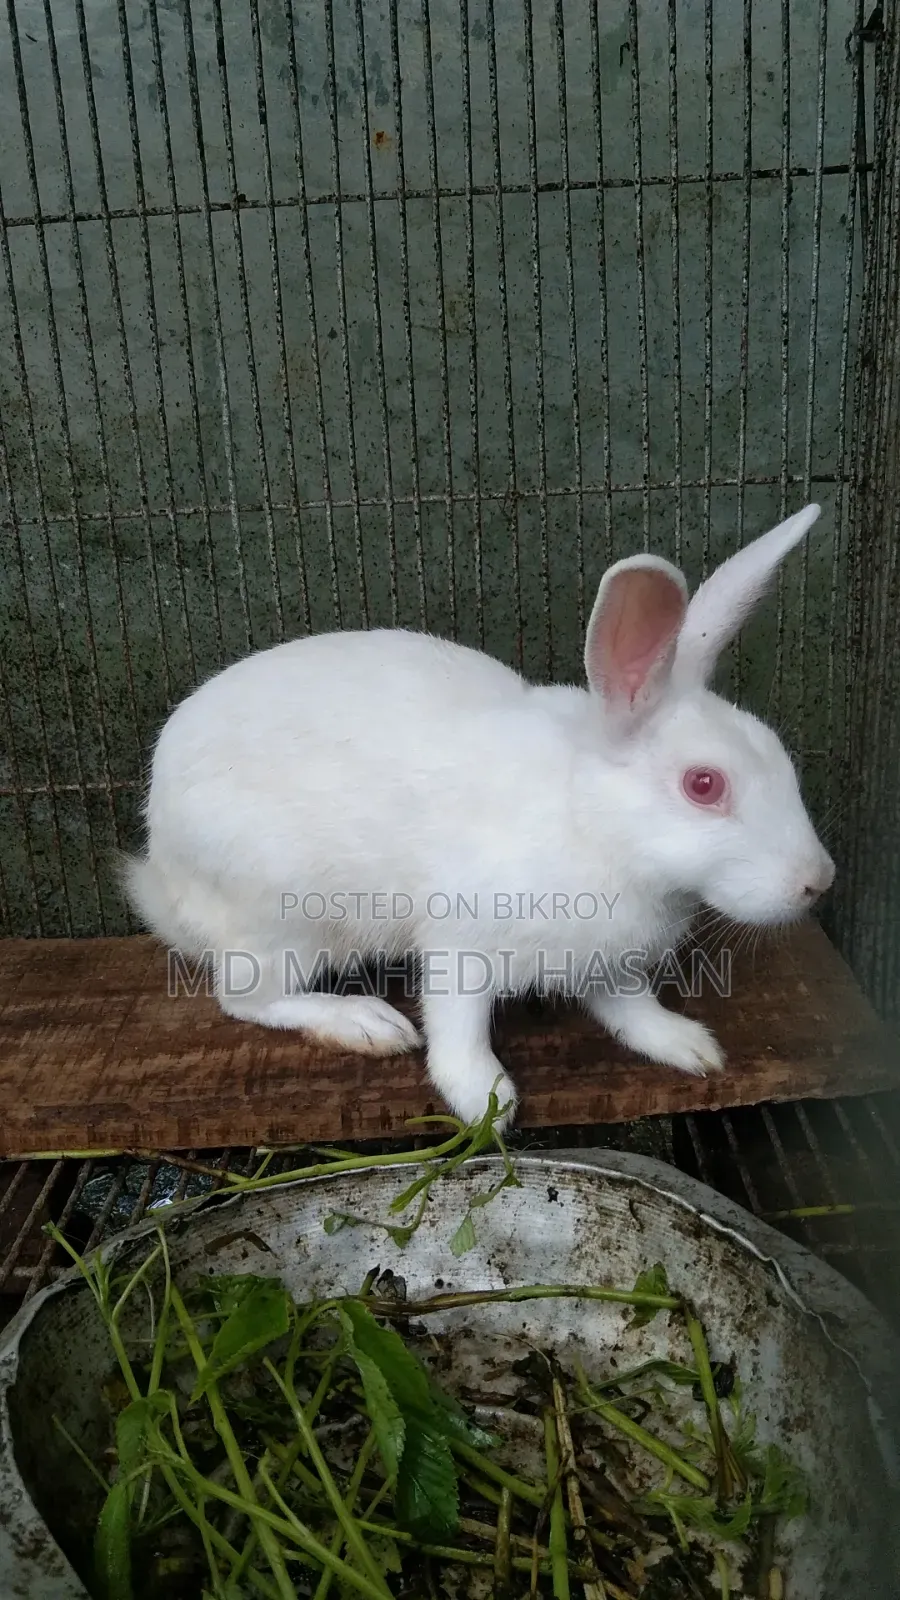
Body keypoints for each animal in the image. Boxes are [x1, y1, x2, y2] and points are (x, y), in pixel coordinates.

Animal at [125, 503, 834, 1129]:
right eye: (704, 784)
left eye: (778, 753)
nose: (817, 882)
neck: (591, 823)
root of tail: (166, 877)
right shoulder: (461, 941)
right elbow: (457, 1027)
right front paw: (485, 1102)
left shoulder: (607, 960)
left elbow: (628, 1006)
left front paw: (685, 1045)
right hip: (284, 921)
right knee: (246, 998)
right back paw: (365, 1023)